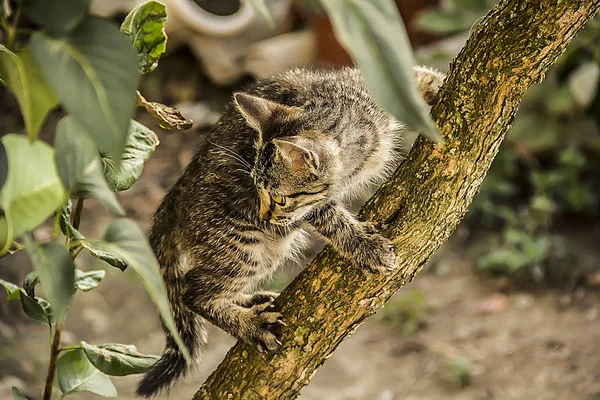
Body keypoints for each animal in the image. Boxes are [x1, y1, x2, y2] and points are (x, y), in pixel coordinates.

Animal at [137, 65, 446, 396]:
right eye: (257, 189)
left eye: (278, 197)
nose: (264, 213)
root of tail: (174, 196)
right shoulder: (312, 205)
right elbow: (332, 219)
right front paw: (367, 248)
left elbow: (416, 74)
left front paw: (438, 84)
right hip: (242, 245)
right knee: (192, 290)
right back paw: (250, 324)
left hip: (269, 250)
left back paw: (253, 301)